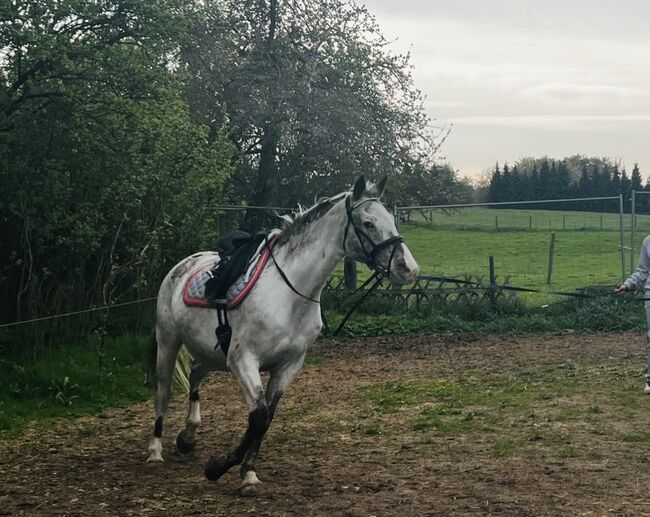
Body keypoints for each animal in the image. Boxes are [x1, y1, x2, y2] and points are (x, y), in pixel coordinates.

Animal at [146, 176, 418, 492]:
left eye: (390, 220)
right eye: (368, 223)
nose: (409, 269)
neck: (290, 294)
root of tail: (183, 265)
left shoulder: (289, 364)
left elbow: (267, 418)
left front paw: (247, 472)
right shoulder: (243, 360)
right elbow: (259, 417)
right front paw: (218, 468)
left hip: (209, 353)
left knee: (195, 374)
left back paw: (188, 436)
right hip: (168, 341)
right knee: (163, 391)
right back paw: (155, 451)